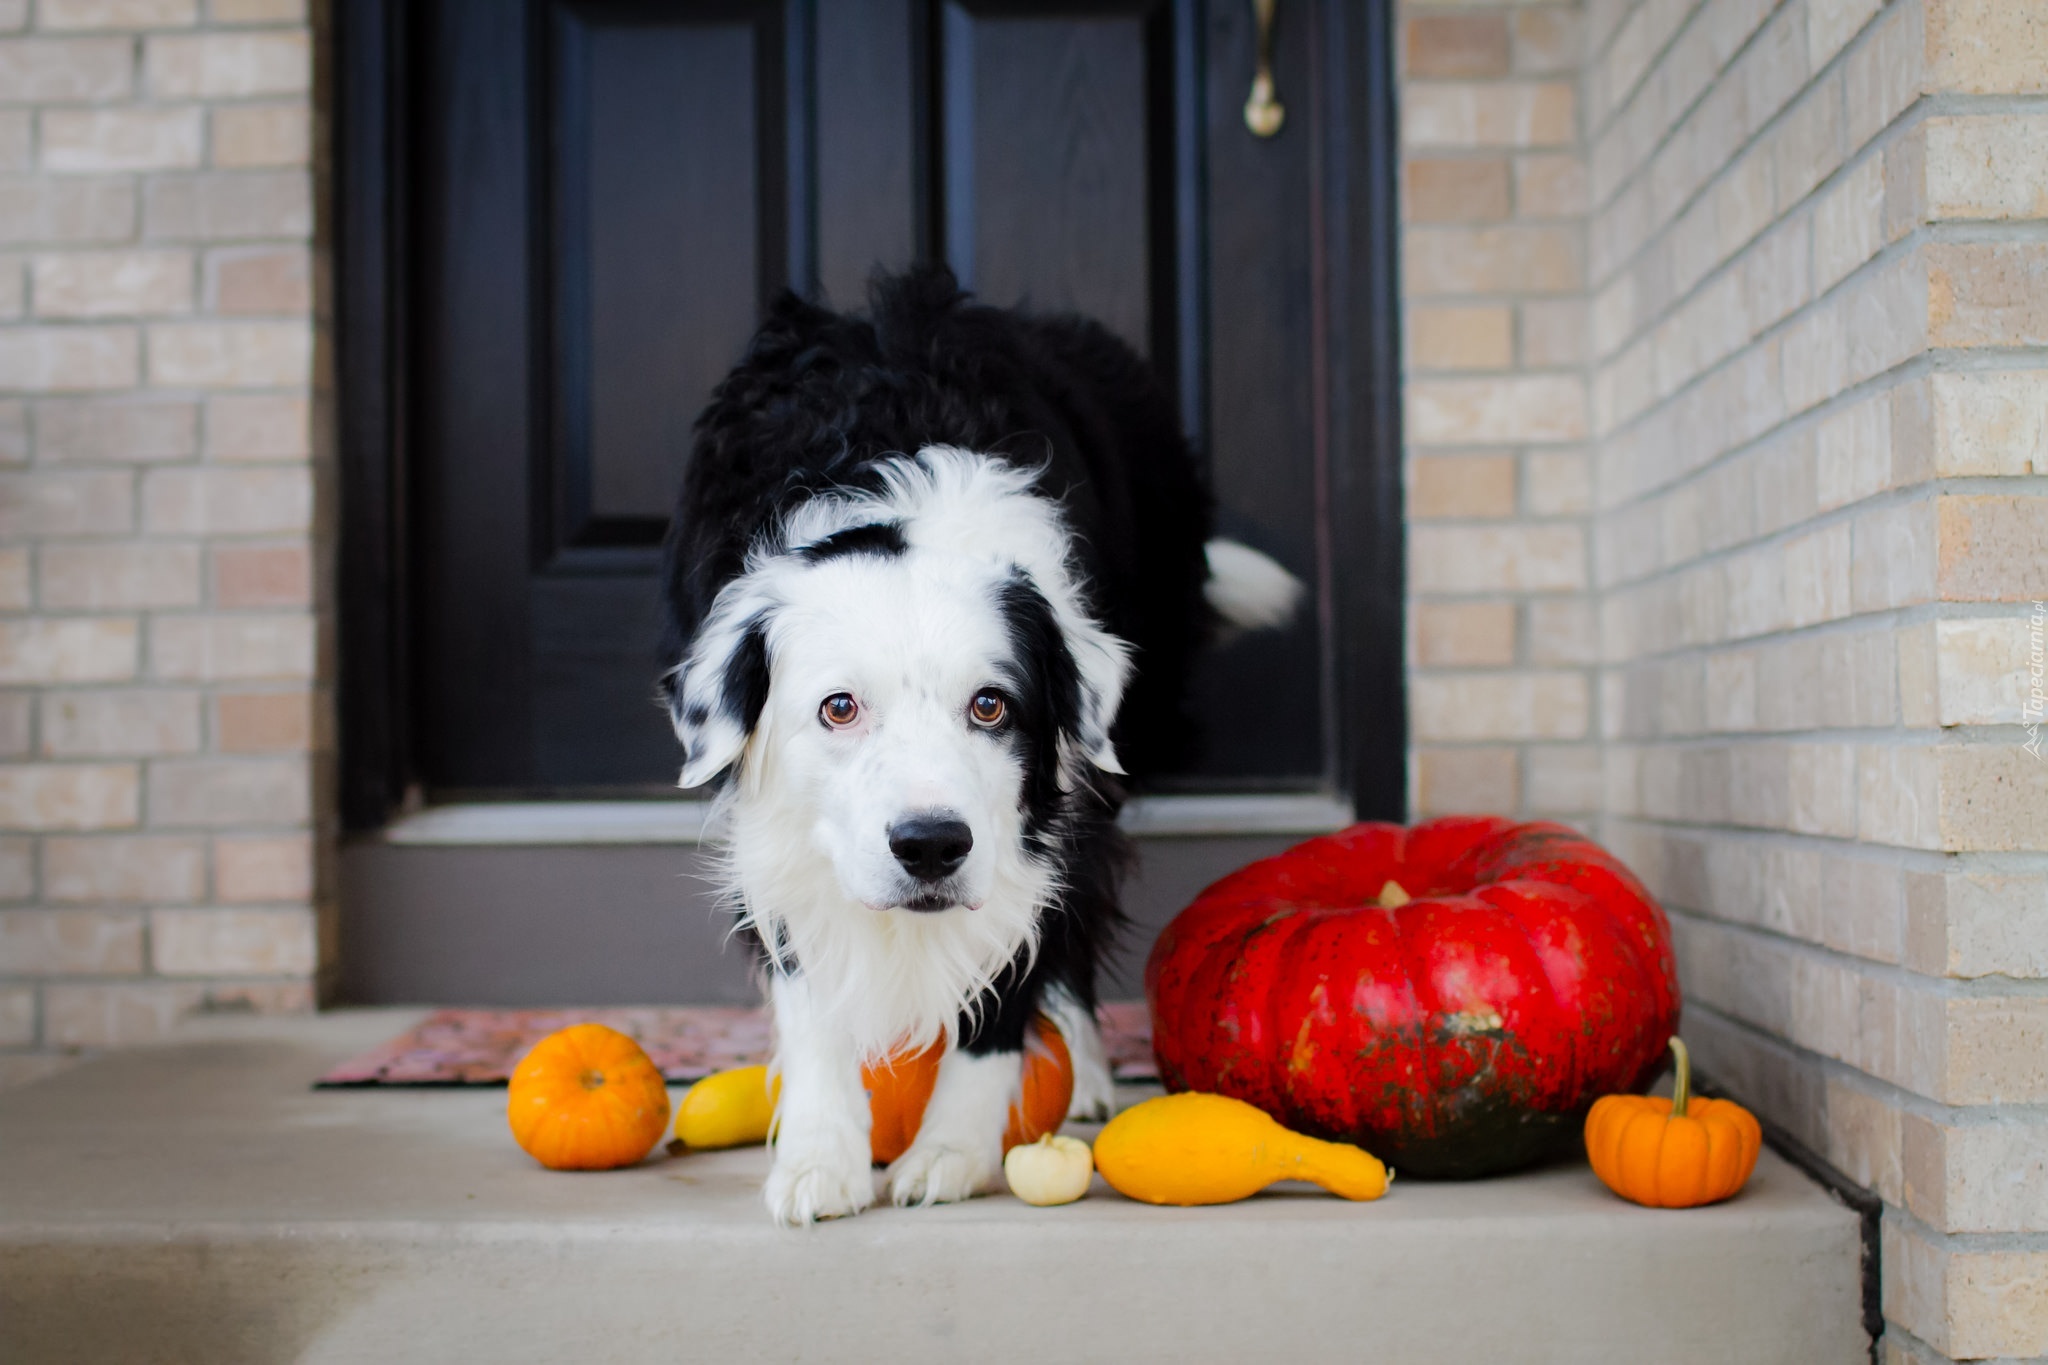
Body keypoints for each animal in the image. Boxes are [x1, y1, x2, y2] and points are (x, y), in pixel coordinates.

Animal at [655, 270, 1294, 1227]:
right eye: (839, 708)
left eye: (990, 705)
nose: (929, 846)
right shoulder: (778, 824)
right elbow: (807, 985)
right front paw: (820, 1159)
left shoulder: (1044, 814)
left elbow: (1015, 970)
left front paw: (950, 1152)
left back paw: (1085, 1069)